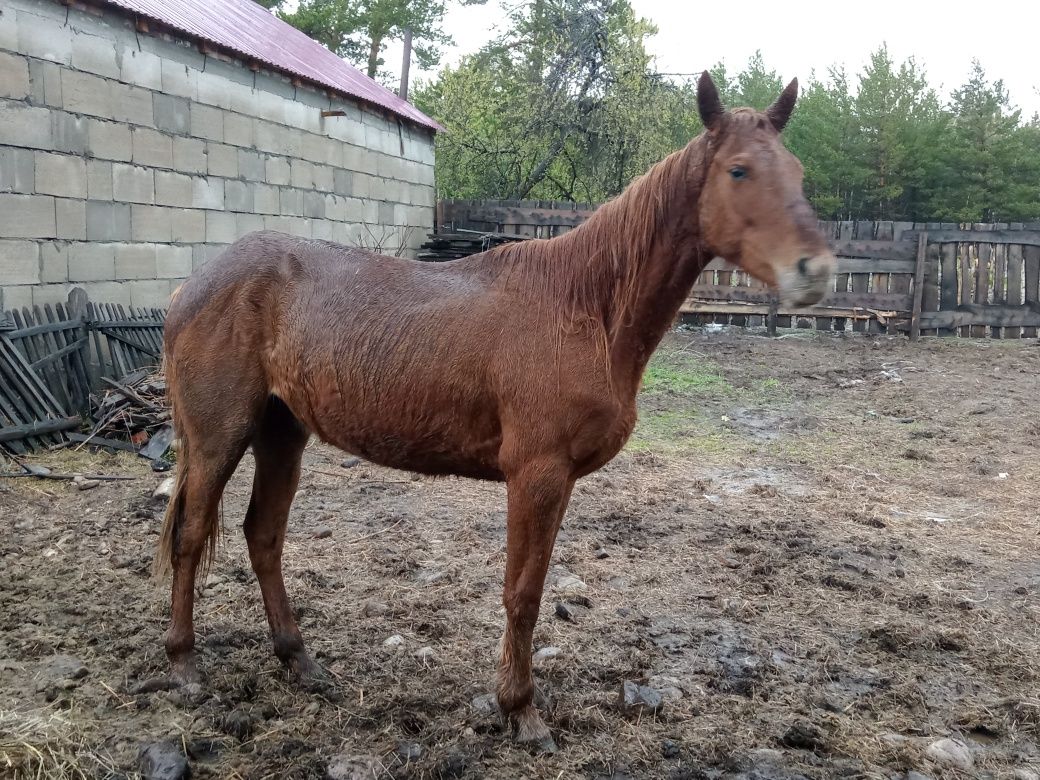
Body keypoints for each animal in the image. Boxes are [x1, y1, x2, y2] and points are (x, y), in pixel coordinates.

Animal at [151, 73, 836, 752]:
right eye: (739, 170)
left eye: (798, 172)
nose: (816, 270)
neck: (582, 304)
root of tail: (194, 284)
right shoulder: (536, 475)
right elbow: (523, 595)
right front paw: (520, 711)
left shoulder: (557, 481)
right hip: (218, 439)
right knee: (191, 534)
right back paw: (184, 663)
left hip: (281, 434)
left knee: (263, 537)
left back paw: (298, 659)